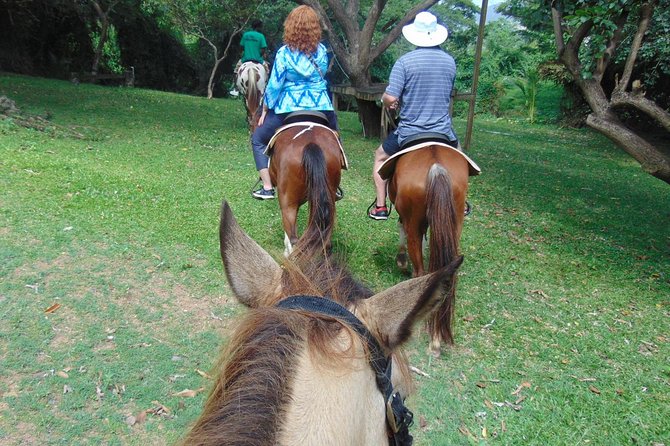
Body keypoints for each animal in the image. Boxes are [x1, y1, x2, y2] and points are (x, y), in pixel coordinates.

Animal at [378, 139, 484, 356]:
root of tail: (436, 166)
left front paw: (401, 260)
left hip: (413, 218)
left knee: (419, 269)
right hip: (454, 221)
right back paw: (436, 338)